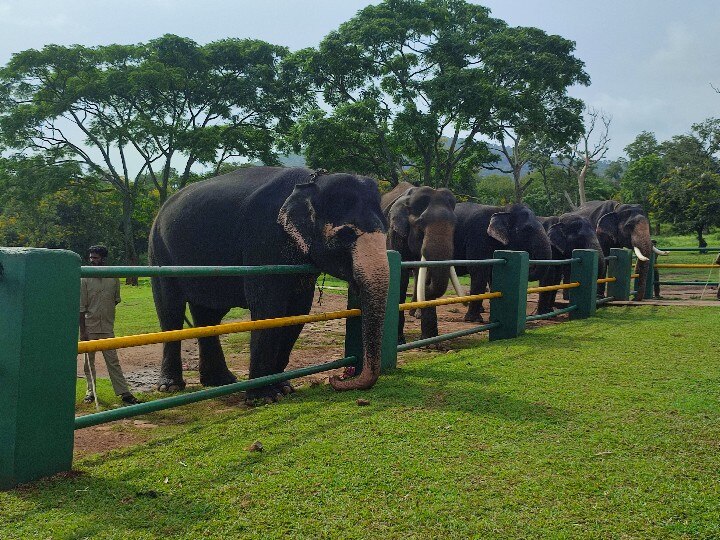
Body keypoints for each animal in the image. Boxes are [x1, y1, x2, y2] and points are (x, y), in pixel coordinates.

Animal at [147, 167, 390, 402]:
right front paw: (264, 397)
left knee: (208, 314)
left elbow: (297, 311)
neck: (312, 181)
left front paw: (284, 388)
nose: (336, 378)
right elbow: (269, 308)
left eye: (385, 231)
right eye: (346, 234)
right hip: (159, 253)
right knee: (170, 310)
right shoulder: (263, 239)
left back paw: (221, 381)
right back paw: (170, 387)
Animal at [382, 181, 462, 342]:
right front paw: (399, 340)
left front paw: (430, 341)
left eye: (455, 225)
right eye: (420, 225)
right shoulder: (394, 233)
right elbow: (401, 277)